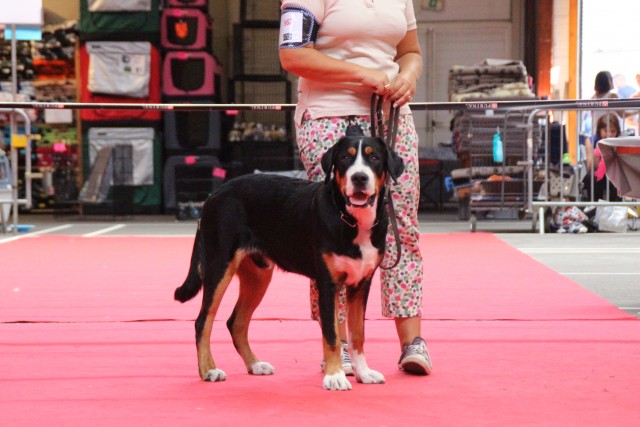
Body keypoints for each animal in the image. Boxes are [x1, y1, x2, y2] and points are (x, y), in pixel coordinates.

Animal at [174, 135, 404, 392]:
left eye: (374, 158)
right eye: (346, 157)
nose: (360, 178)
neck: (352, 220)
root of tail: (212, 196)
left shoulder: (361, 284)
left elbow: (357, 335)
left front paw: (363, 372)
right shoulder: (328, 284)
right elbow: (332, 335)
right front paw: (335, 376)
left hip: (258, 276)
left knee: (237, 322)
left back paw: (255, 365)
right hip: (219, 266)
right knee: (203, 321)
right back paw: (209, 370)